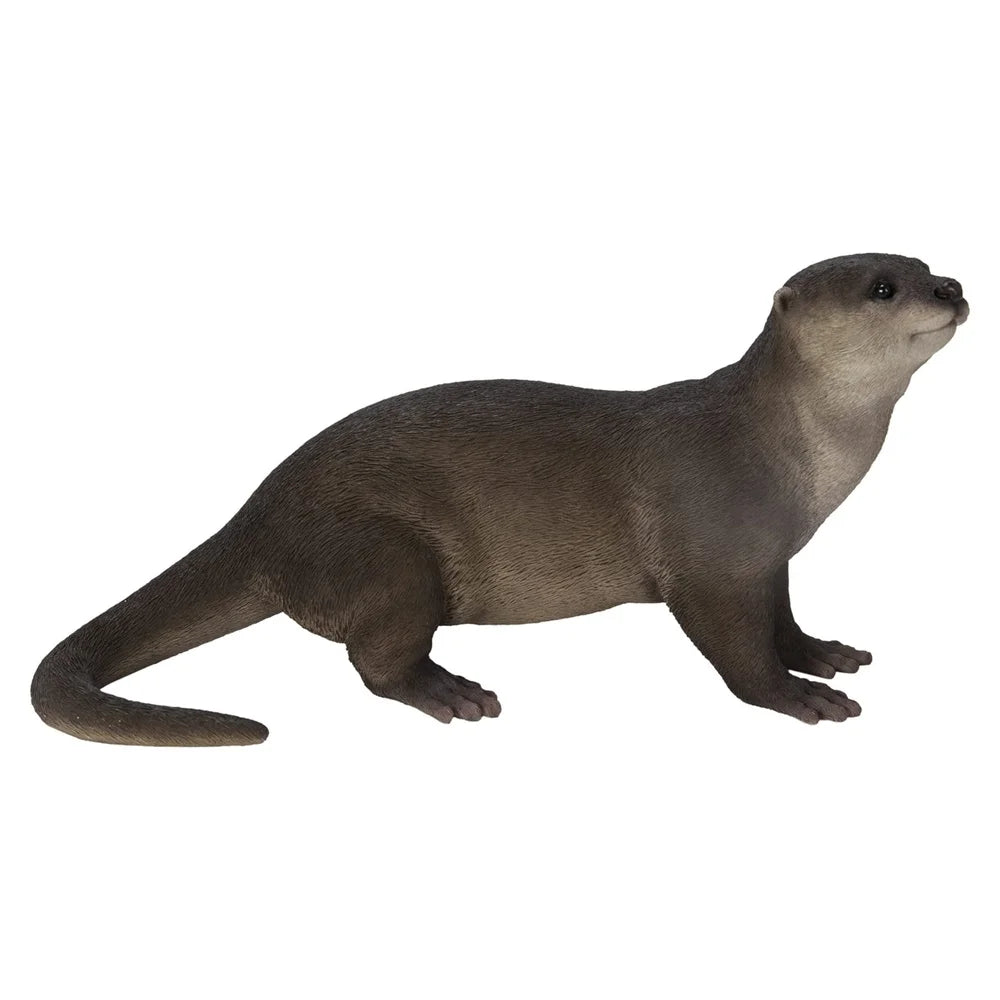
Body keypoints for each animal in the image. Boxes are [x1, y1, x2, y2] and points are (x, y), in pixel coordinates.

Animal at [31, 253, 969, 746]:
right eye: (883, 287)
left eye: (926, 265)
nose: (952, 288)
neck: (776, 449)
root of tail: (259, 512)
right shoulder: (710, 555)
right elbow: (739, 652)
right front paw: (798, 697)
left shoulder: (767, 554)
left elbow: (782, 620)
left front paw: (824, 653)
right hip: (383, 555)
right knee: (372, 660)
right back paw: (450, 693)